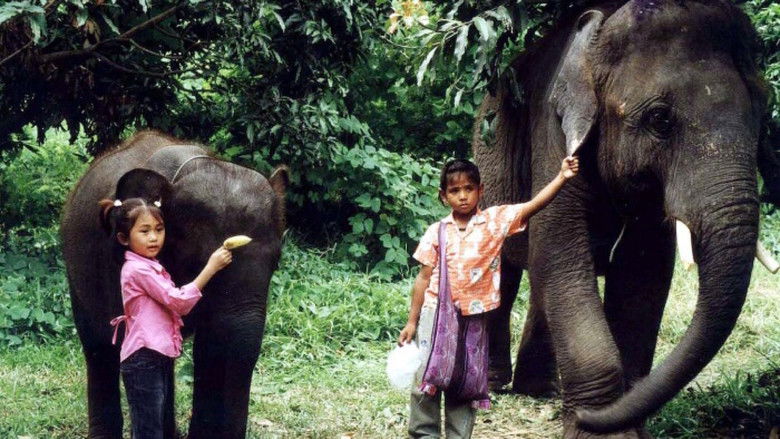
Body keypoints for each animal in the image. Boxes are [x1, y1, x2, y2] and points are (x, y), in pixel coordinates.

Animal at [473, 0, 779, 437]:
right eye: (660, 119)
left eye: (764, 112)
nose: (584, 416)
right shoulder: (553, 132)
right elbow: (561, 250)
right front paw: (599, 426)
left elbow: (642, 271)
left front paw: (619, 421)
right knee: (507, 272)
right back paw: (495, 385)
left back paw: (541, 391)